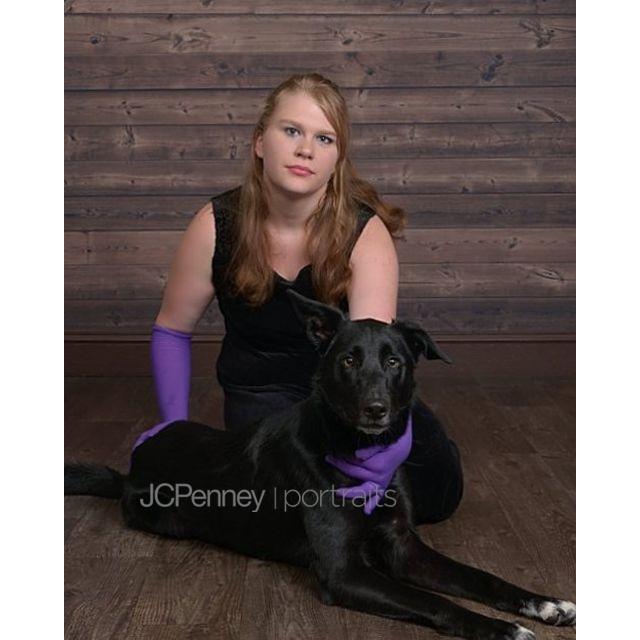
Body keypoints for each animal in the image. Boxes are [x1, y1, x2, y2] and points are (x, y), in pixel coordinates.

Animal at [65, 290, 576, 639]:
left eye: (394, 362)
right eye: (348, 360)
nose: (375, 409)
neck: (358, 453)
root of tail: (132, 467)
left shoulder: (403, 548)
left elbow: (480, 576)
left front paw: (543, 604)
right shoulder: (344, 572)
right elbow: (435, 601)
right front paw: (503, 629)